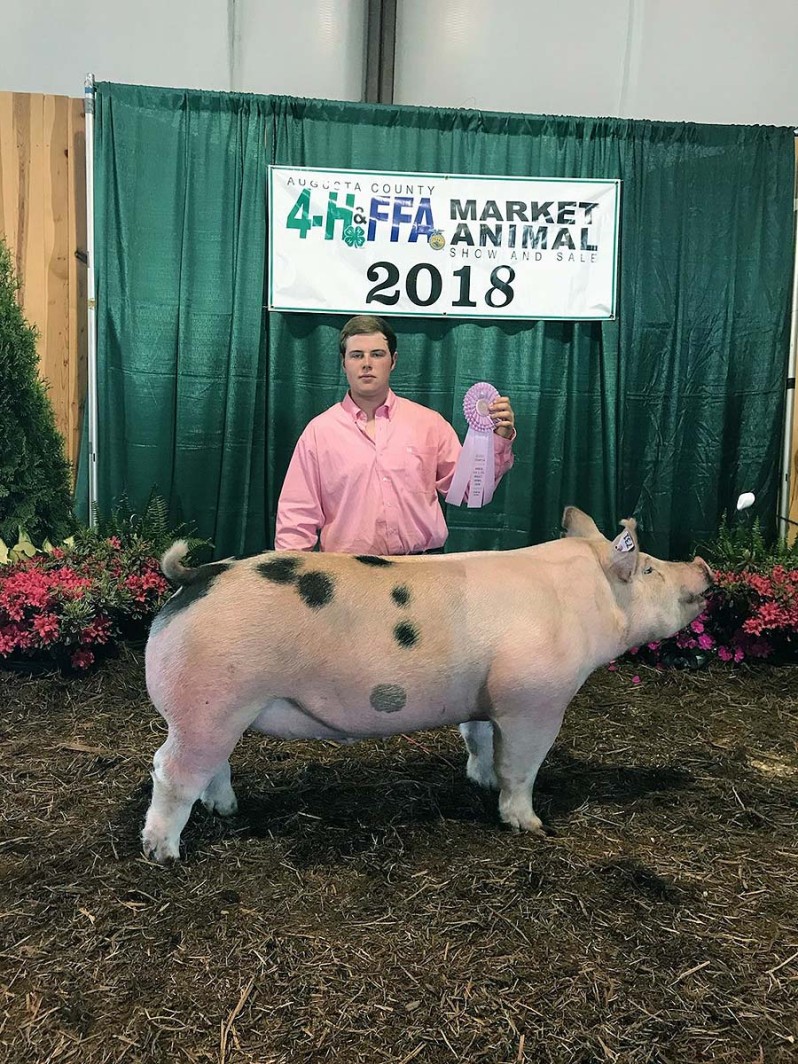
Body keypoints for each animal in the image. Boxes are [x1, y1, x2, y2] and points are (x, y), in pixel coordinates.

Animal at [142, 506, 710, 863]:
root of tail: (198, 576)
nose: (703, 566)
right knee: (170, 770)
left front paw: (480, 782)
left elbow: (478, 740)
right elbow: (521, 768)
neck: (582, 602)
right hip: (207, 705)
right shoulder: (533, 699)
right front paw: (530, 825)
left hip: (220, 712)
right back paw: (163, 854)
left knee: (212, 766)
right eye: (650, 568)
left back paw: (227, 810)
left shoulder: (484, 699)